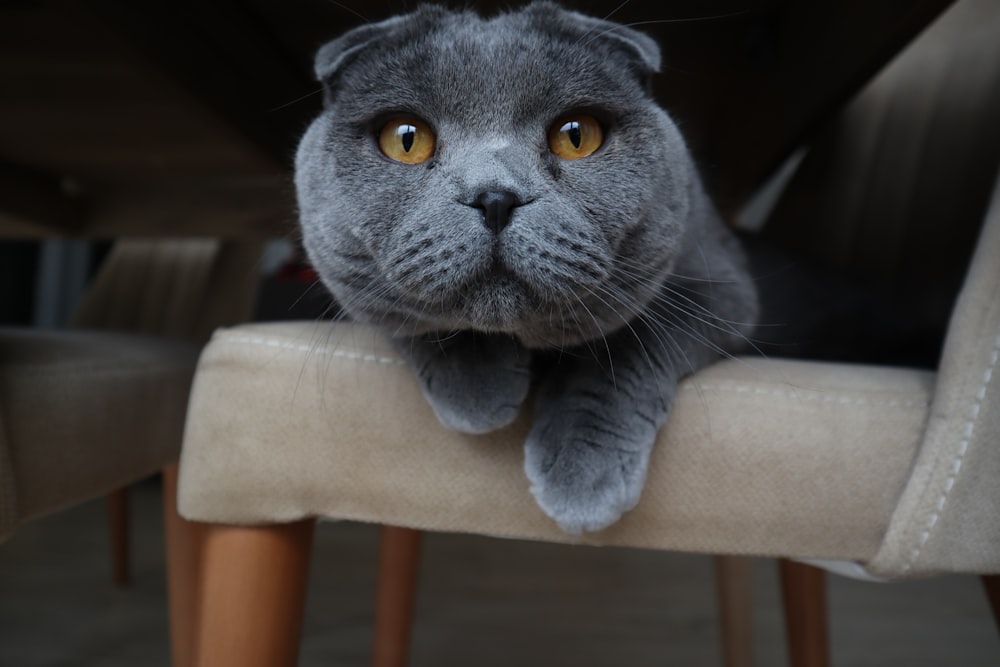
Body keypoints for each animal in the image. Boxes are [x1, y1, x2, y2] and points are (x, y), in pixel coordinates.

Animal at [294, 0, 756, 532]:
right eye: (405, 140)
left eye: (576, 136)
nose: (495, 197)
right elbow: (407, 315)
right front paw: (478, 389)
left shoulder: (720, 282)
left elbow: (629, 343)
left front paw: (583, 474)